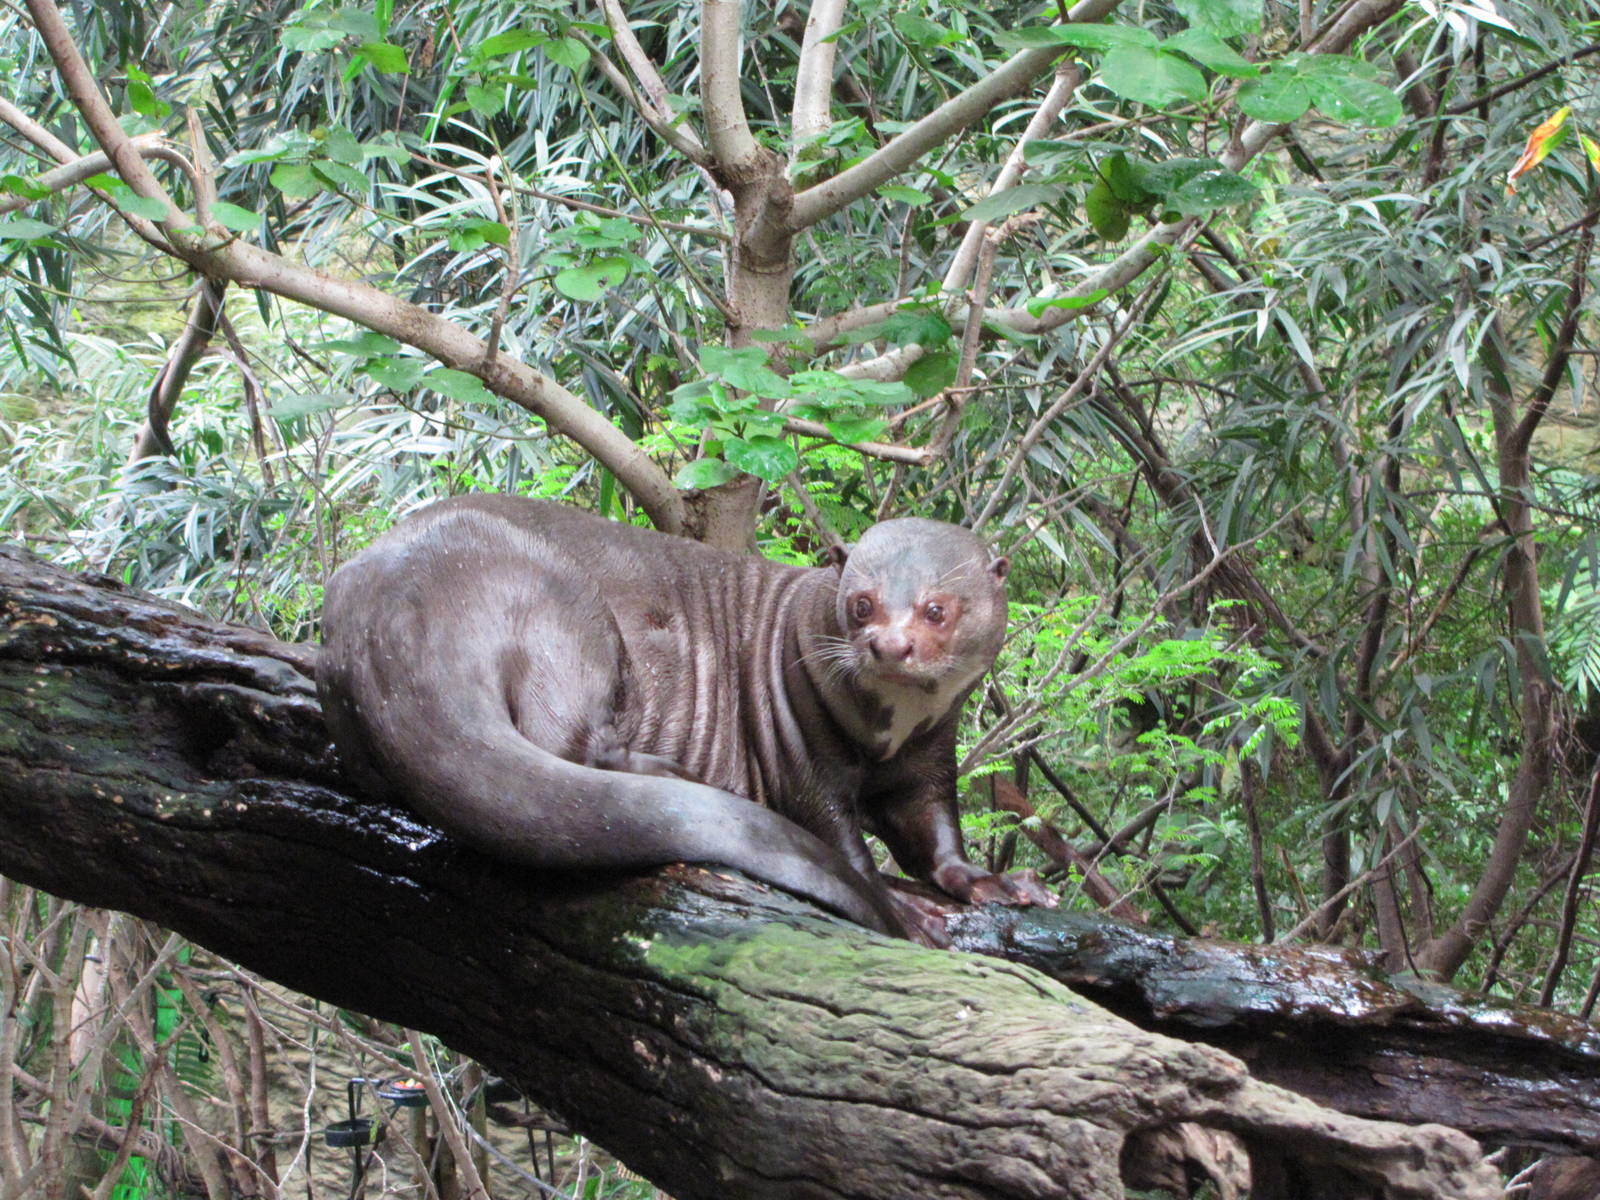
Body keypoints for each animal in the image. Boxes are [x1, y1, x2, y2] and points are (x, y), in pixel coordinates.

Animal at [317, 495, 1052, 941]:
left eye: (936, 609)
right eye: (861, 603)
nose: (890, 645)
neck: (889, 732)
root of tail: (395, 621)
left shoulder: (928, 755)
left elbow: (933, 831)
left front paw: (989, 882)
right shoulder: (800, 739)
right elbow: (835, 831)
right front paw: (900, 903)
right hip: (563, 611)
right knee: (572, 740)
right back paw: (674, 772)